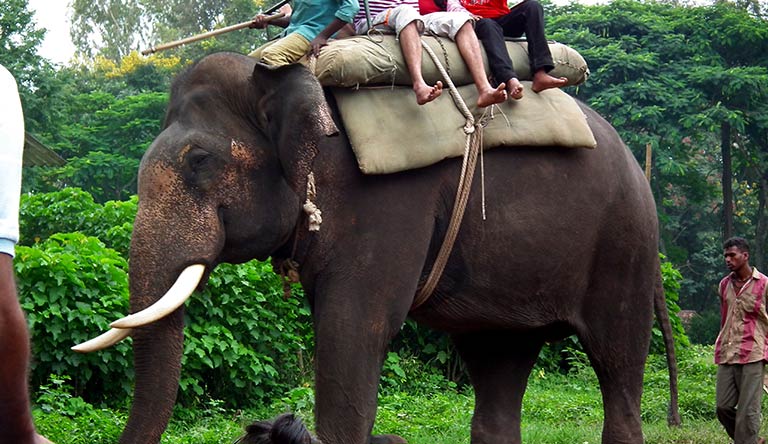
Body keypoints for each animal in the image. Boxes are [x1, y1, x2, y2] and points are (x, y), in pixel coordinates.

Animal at [74, 51, 680, 444]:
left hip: (624, 243)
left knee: (617, 362)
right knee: (497, 369)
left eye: (199, 161)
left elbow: (353, 328)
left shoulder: (389, 203)